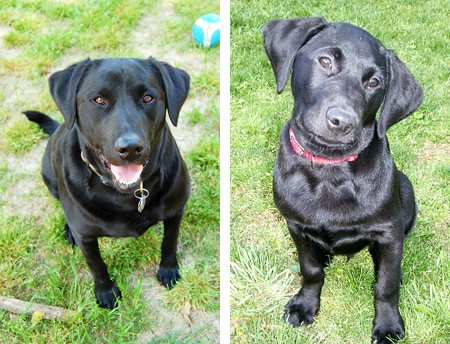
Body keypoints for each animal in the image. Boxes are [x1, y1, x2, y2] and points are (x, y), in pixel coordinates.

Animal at [25, 56, 190, 310]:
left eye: (148, 98)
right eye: (99, 100)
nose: (130, 148)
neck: (126, 195)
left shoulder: (176, 211)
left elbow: (169, 242)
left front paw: (168, 270)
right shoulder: (86, 237)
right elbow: (96, 265)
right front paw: (106, 293)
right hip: (50, 179)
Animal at [262, 17, 424, 342]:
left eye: (374, 82)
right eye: (325, 61)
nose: (342, 121)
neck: (330, 168)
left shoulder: (389, 231)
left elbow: (385, 285)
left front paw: (388, 324)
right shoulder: (295, 224)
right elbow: (310, 270)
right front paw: (305, 304)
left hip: (406, 189)